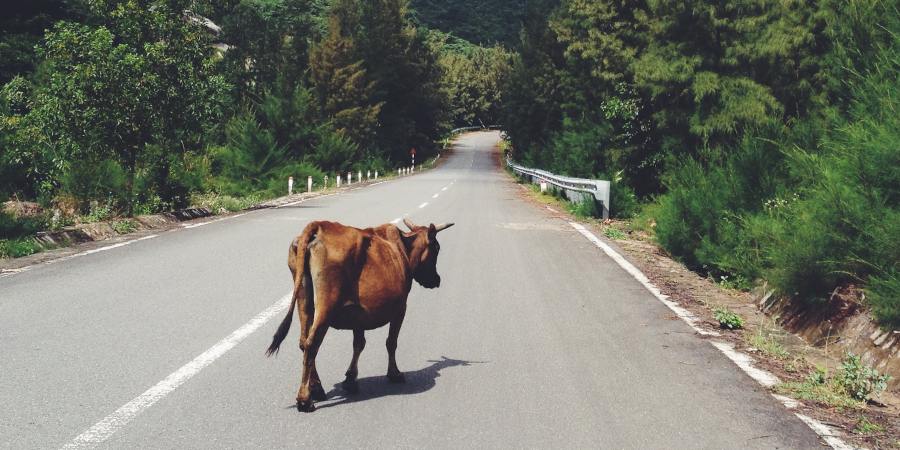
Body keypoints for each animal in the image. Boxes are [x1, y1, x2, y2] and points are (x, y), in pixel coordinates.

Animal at [264, 218, 454, 412]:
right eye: (436, 248)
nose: (437, 280)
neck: (404, 250)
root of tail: (318, 226)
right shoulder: (401, 308)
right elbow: (391, 342)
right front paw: (394, 373)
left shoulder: (358, 315)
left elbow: (359, 344)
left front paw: (350, 380)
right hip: (326, 305)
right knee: (311, 344)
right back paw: (304, 399)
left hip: (304, 298)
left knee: (304, 342)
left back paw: (317, 388)